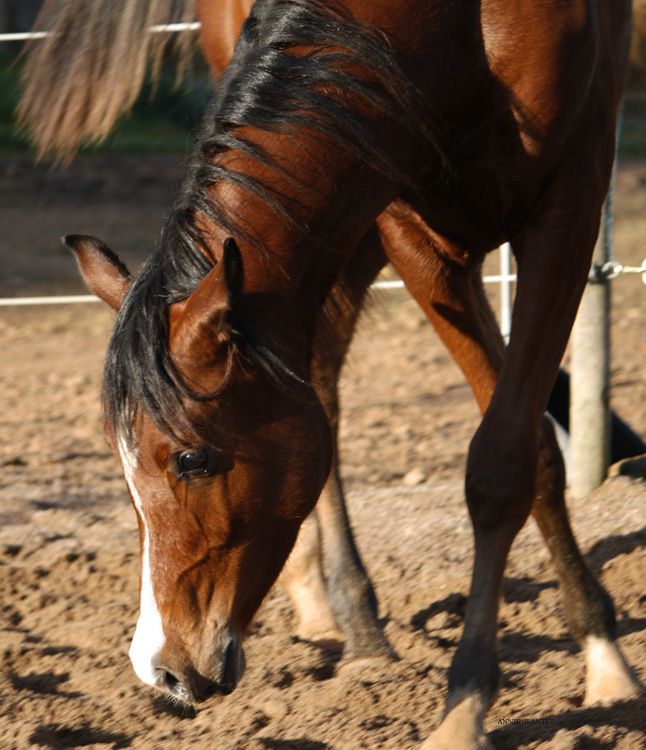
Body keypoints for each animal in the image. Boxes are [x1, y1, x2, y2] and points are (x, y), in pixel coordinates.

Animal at [17, 1, 640, 750]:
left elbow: (506, 460)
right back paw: (343, 612)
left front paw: (506, 690)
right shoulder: (409, 224)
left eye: (193, 459)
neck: (458, 26)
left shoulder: (569, 198)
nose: (164, 671)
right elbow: (527, 450)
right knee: (323, 386)